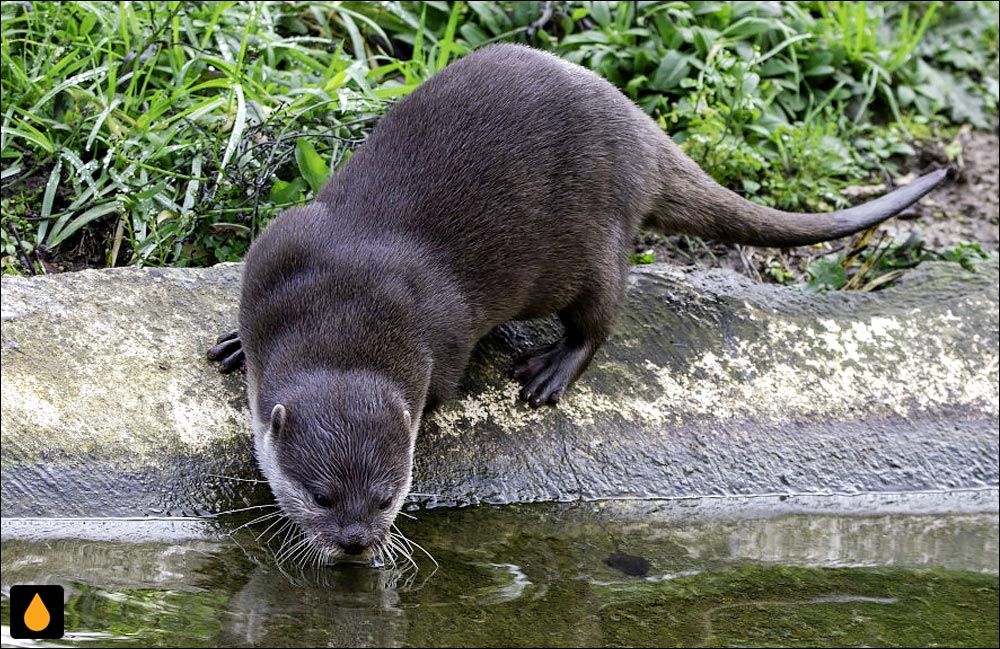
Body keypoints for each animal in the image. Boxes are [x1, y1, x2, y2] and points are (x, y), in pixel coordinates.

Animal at [205, 43, 944, 560]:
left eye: (389, 497)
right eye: (322, 494)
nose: (357, 541)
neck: (345, 302)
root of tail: (640, 130)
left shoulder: (444, 338)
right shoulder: (278, 248)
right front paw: (236, 344)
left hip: (594, 239)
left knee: (602, 310)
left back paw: (551, 369)